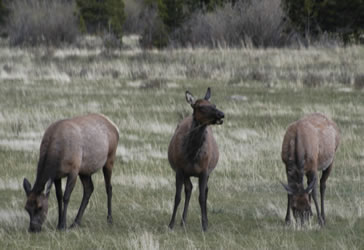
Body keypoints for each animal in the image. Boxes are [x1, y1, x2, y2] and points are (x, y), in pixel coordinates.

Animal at [168, 87, 225, 231]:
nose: (221, 114)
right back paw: (183, 221)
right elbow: (177, 197)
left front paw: (204, 225)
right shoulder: (179, 170)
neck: (192, 155)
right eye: (201, 107)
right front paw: (171, 224)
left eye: (214, 104)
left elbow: (202, 197)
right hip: (187, 174)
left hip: (208, 171)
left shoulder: (204, 171)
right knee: (189, 189)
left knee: (205, 190)